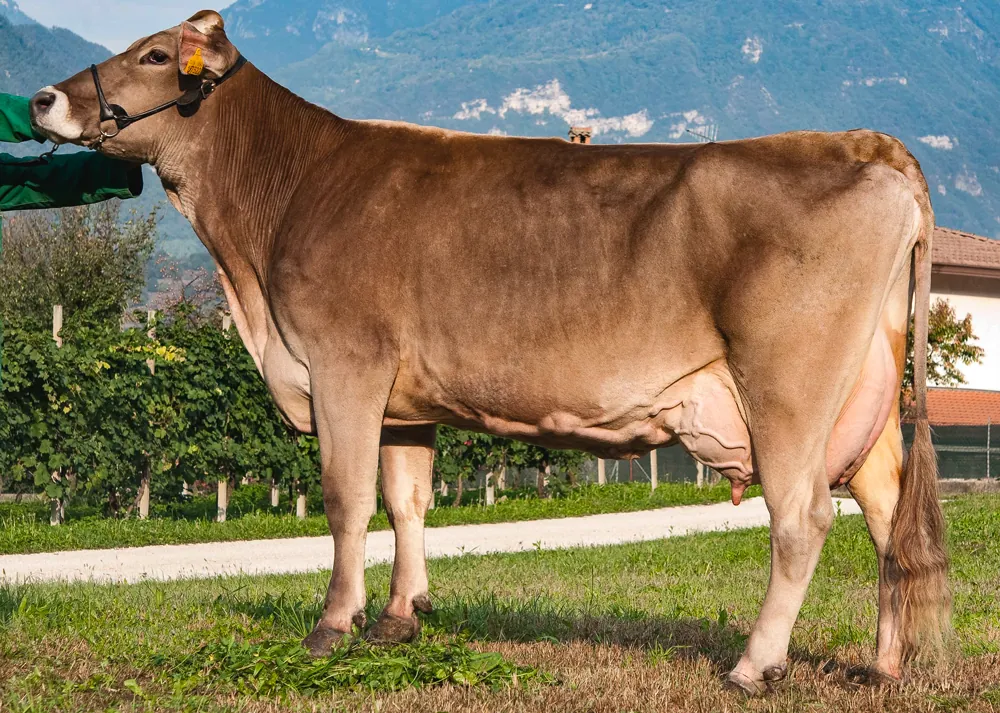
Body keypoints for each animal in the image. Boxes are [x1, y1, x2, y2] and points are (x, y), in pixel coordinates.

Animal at [30, 10, 950, 694]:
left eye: (154, 54)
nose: (42, 99)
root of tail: (858, 144)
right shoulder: (403, 396)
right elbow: (406, 500)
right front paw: (400, 616)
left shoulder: (343, 364)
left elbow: (344, 498)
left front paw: (332, 624)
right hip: (863, 399)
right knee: (885, 515)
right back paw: (883, 664)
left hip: (788, 388)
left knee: (803, 517)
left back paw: (755, 664)